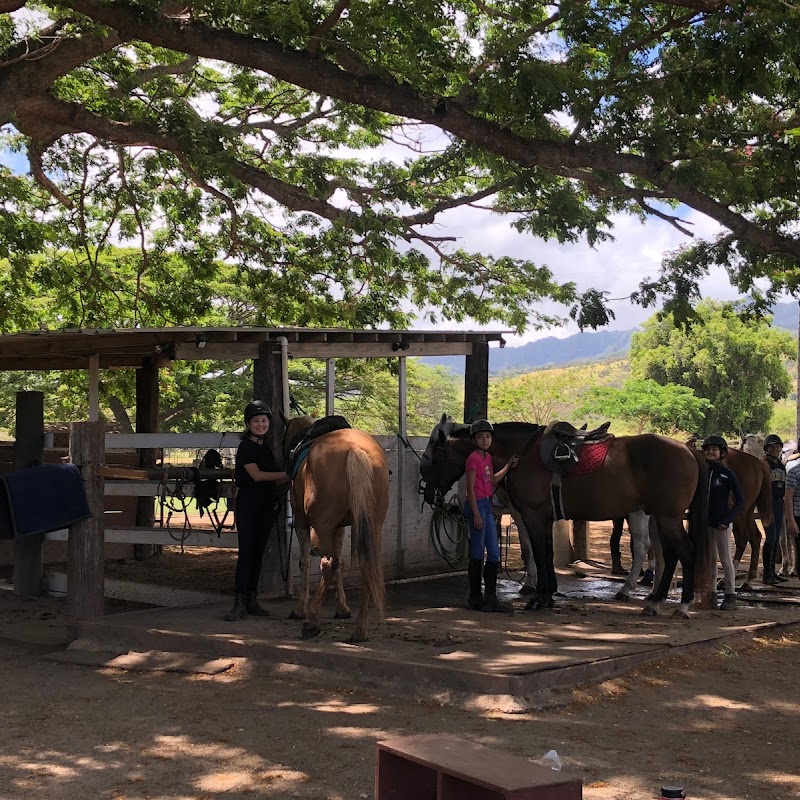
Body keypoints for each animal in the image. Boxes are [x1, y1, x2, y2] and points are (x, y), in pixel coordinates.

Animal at [280, 416, 390, 640]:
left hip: (322, 526)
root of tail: (354, 449)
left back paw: (311, 620)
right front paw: (343, 608)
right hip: (372, 526)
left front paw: (300, 609)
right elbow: (341, 563)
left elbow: (305, 563)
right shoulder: (339, 527)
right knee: (366, 566)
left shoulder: (302, 522)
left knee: (327, 564)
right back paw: (360, 629)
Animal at [418, 418, 708, 620]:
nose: (427, 491)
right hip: (660, 517)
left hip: (666, 517)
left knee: (684, 553)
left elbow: (537, 553)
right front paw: (547, 596)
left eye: (434, 454)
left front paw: (537, 597)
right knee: (668, 554)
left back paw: (678, 605)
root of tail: (688, 450)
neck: (522, 453)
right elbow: (546, 554)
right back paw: (654, 601)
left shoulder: (532, 517)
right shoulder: (544, 519)